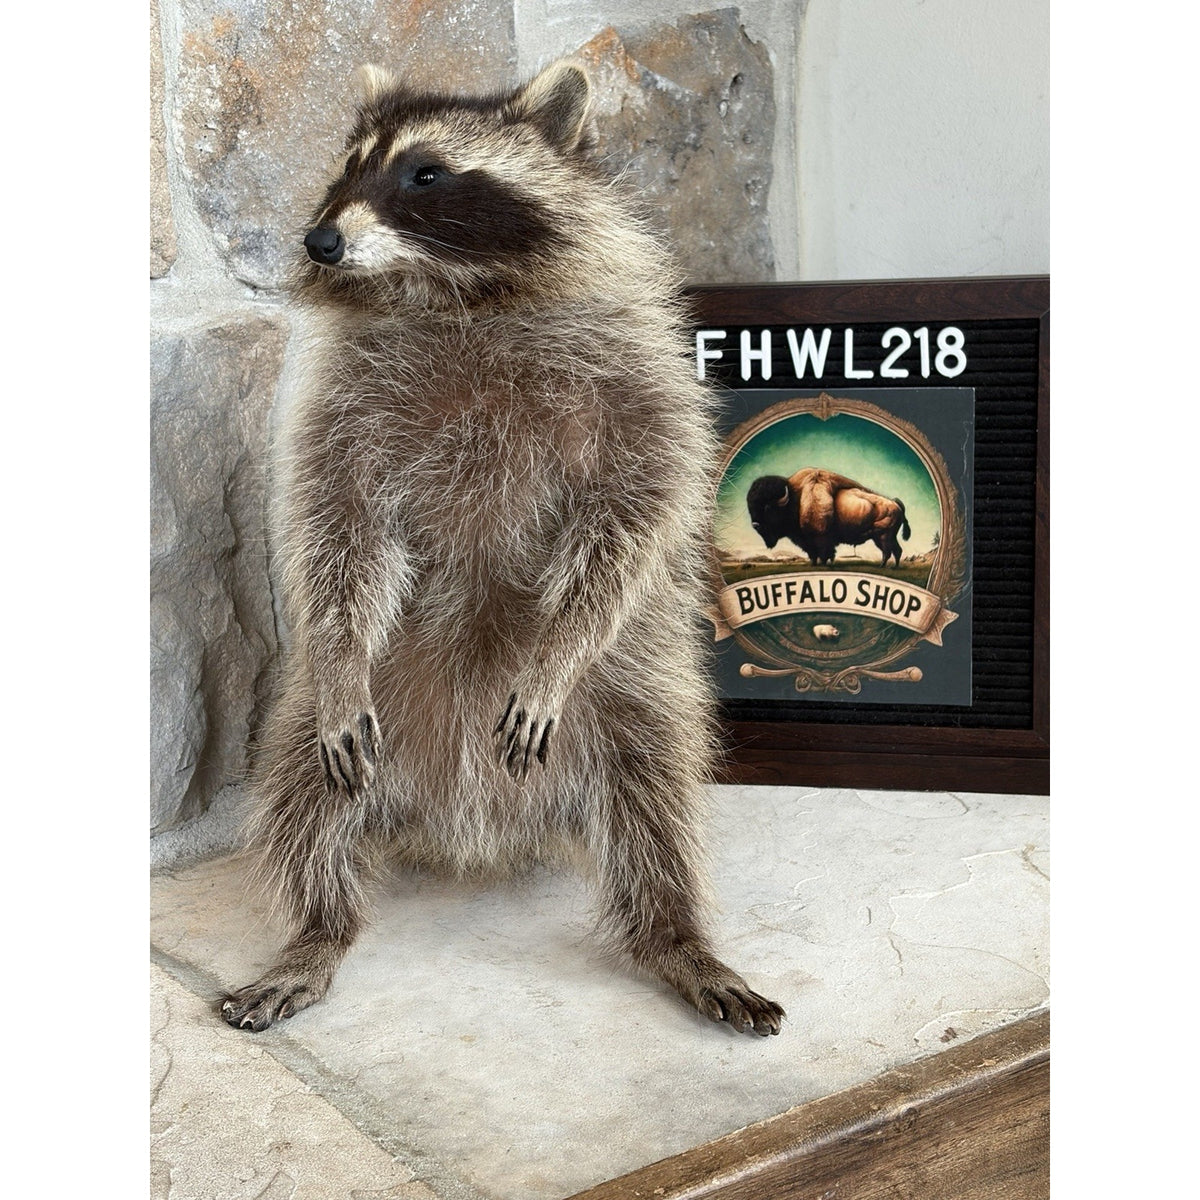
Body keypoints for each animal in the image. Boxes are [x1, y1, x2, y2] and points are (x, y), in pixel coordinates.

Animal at [220, 60, 785, 1037]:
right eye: (350, 166)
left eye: (426, 174)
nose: (321, 241)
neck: (448, 292)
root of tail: (471, 825)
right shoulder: (342, 403)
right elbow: (336, 529)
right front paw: (337, 641)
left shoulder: (636, 368)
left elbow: (638, 509)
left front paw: (563, 641)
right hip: (339, 714)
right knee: (303, 799)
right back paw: (317, 930)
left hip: (632, 690)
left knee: (658, 797)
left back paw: (675, 934)